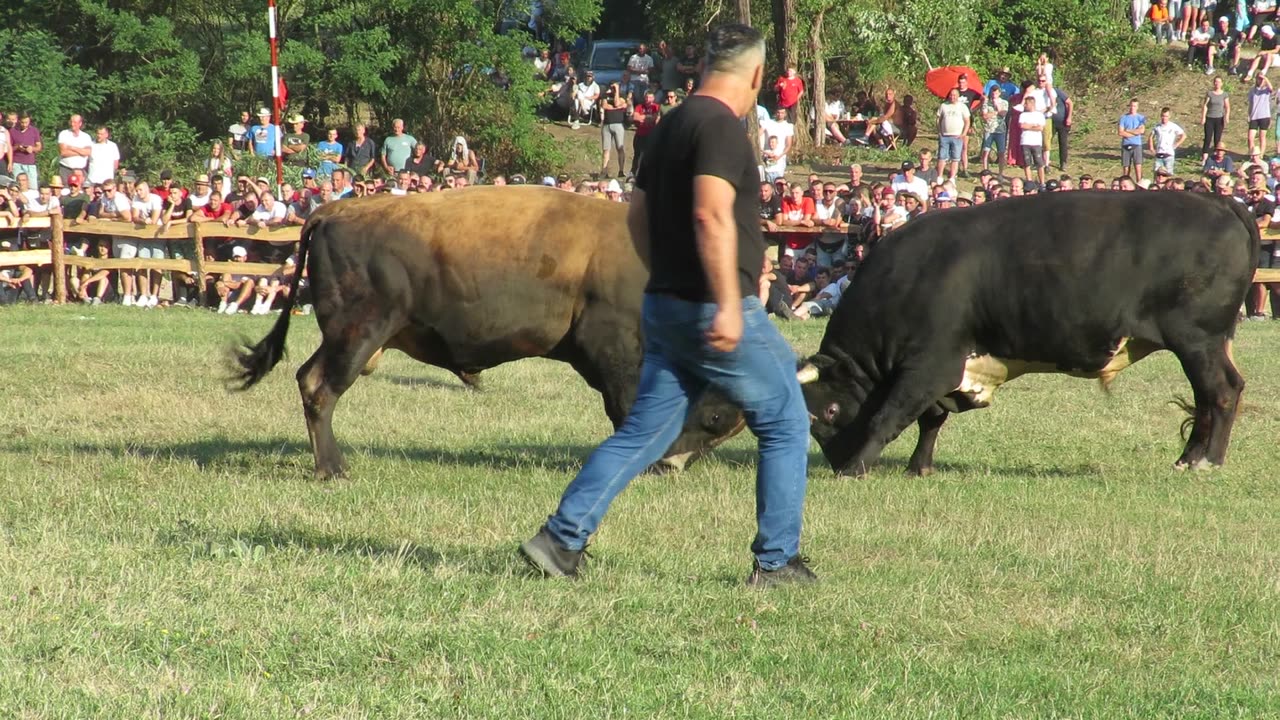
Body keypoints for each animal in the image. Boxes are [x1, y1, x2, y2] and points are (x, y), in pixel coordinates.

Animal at [232, 184, 747, 476]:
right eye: (716, 415)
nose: (675, 466)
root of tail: (333, 212)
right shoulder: (616, 351)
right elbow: (627, 407)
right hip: (358, 336)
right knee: (321, 388)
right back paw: (334, 470)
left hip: (346, 338)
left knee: (309, 379)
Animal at [793, 188, 1254, 474]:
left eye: (828, 412)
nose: (837, 461)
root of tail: (1217, 201)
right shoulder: (943, 372)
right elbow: (931, 419)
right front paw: (918, 467)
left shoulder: (929, 365)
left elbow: (888, 416)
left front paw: (857, 468)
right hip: (1204, 344)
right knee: (1208, 397)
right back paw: (1189, 457)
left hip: (1197, 341)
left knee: (1222, 392)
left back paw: (1206, 461)